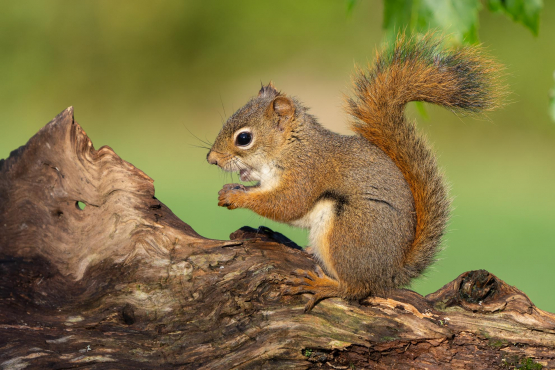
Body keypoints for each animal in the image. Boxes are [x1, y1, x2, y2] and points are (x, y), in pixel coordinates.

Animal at [206, 35, 506, 312]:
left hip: (347, 232)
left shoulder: (307, 172)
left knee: (356, 288)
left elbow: (287, 203)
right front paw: (229, 191)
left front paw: (236, 198)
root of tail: (388, 274)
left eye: (244, 138)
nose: (211, 159)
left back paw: (324, 286)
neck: (291, 147)